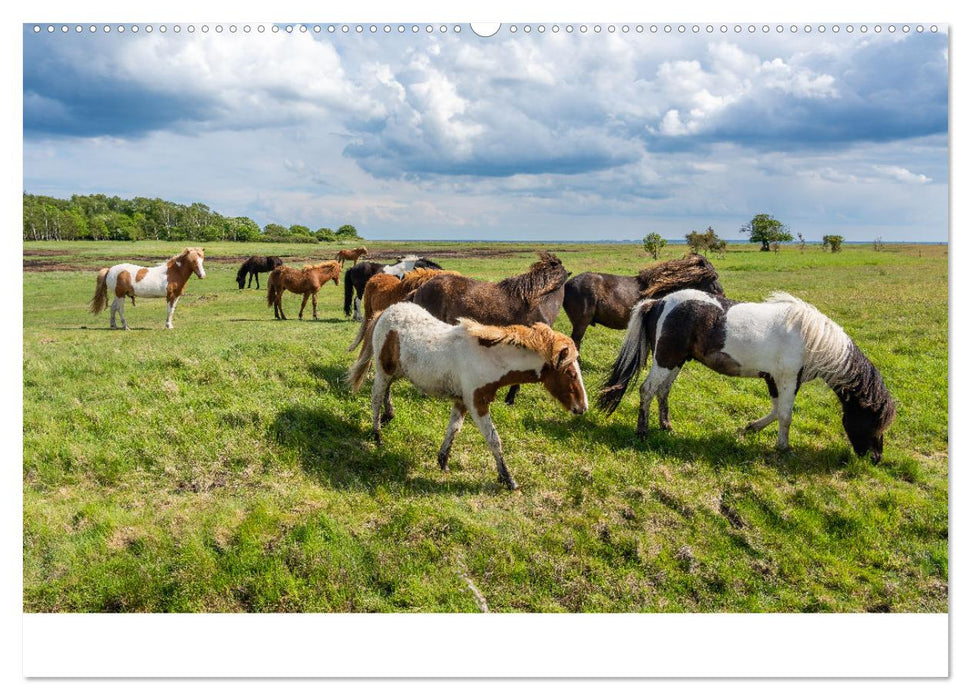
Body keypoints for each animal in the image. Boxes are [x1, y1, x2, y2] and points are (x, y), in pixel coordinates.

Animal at [352, 304, 592, 490]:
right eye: (571, 373)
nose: (582, 407)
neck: (489, 359)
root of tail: (386, 311)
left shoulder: (462, 401)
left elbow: (454, 429)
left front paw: (443, 462)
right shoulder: (477, 402)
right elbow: (494, 440)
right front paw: (508, 480)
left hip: (396, 372)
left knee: (386, 391)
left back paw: (388, 416)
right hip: (383, 370)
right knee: (376, 397)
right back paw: (377, 435)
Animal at [596, 288, 900, 462]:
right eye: (874, 421)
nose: (876, 458)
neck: (810, 338)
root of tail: (658, 303)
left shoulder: (776, 380)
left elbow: (777, 411)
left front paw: (749, 428)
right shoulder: (787, 380)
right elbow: (785, 415)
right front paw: (783, 448)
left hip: (676, 362)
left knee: (662, 391)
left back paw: (666, 426)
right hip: (666, 360)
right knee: (647, 390)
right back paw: (642, 431)